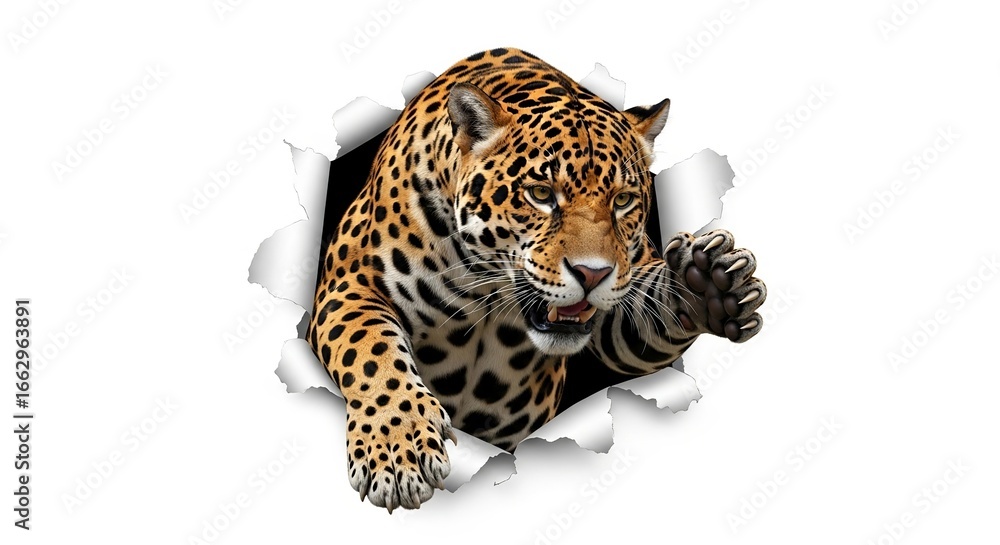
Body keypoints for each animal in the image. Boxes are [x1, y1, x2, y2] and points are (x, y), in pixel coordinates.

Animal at [307, 47, 766, 512]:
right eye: (541, 194)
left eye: (622, 201)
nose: (592, 273)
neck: (488, 290)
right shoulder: (348, 285)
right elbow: (370, 349)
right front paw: (398, 449)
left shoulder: (624, 297)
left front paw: (709, 283)